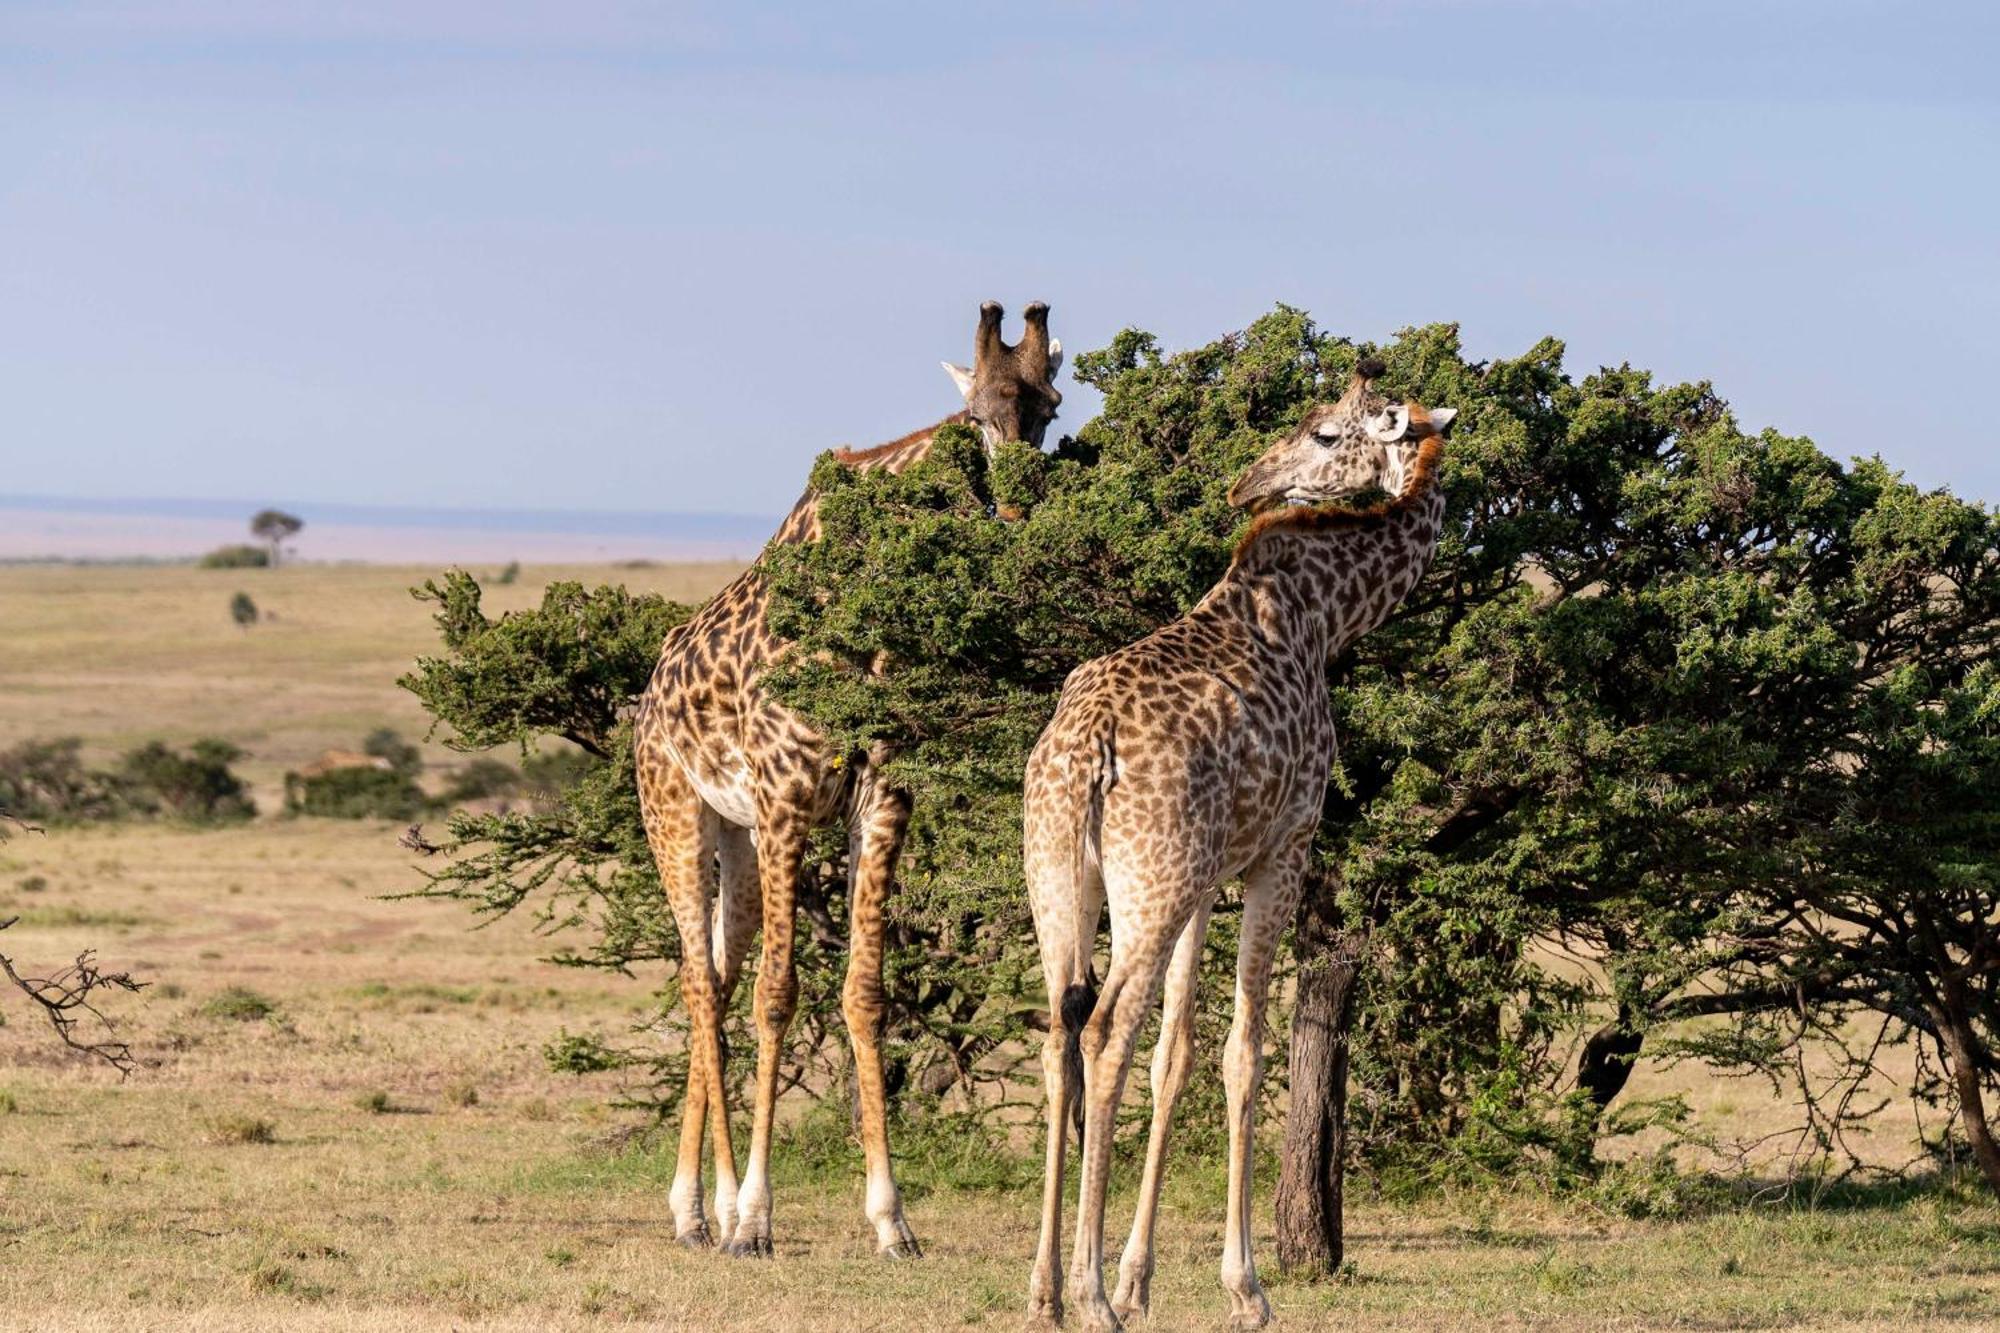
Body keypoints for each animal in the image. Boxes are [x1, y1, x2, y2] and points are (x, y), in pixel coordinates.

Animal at [632, 300, 1064, 1256]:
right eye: (976, 417)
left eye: (1050, 412)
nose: (1022, 509)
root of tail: (648, 695)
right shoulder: (788, 802)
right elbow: (780, 995)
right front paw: (757, 1217)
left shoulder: (883, 801)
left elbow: (865, 992)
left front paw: (891, 1219)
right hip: (677, 815)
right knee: (699, 982)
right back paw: (710, 1210)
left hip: (738, 842)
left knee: (714, 976)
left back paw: (695, 1205)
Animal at [1024, 358, 1464, 1320]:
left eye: (1325, 431)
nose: (1247, 484)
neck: (1324, 615)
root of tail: (1088, 748)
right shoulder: (1283, 846)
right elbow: (1244, 1053)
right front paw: (1243, 1284)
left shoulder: (1203, 881)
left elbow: (1177, 1053)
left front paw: (1140, 1278)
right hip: (1146, 887)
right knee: (1105, 1030)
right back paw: (1087, 1296)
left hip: (1064, 879)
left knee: (1061, 1037)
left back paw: (1044, 1292)